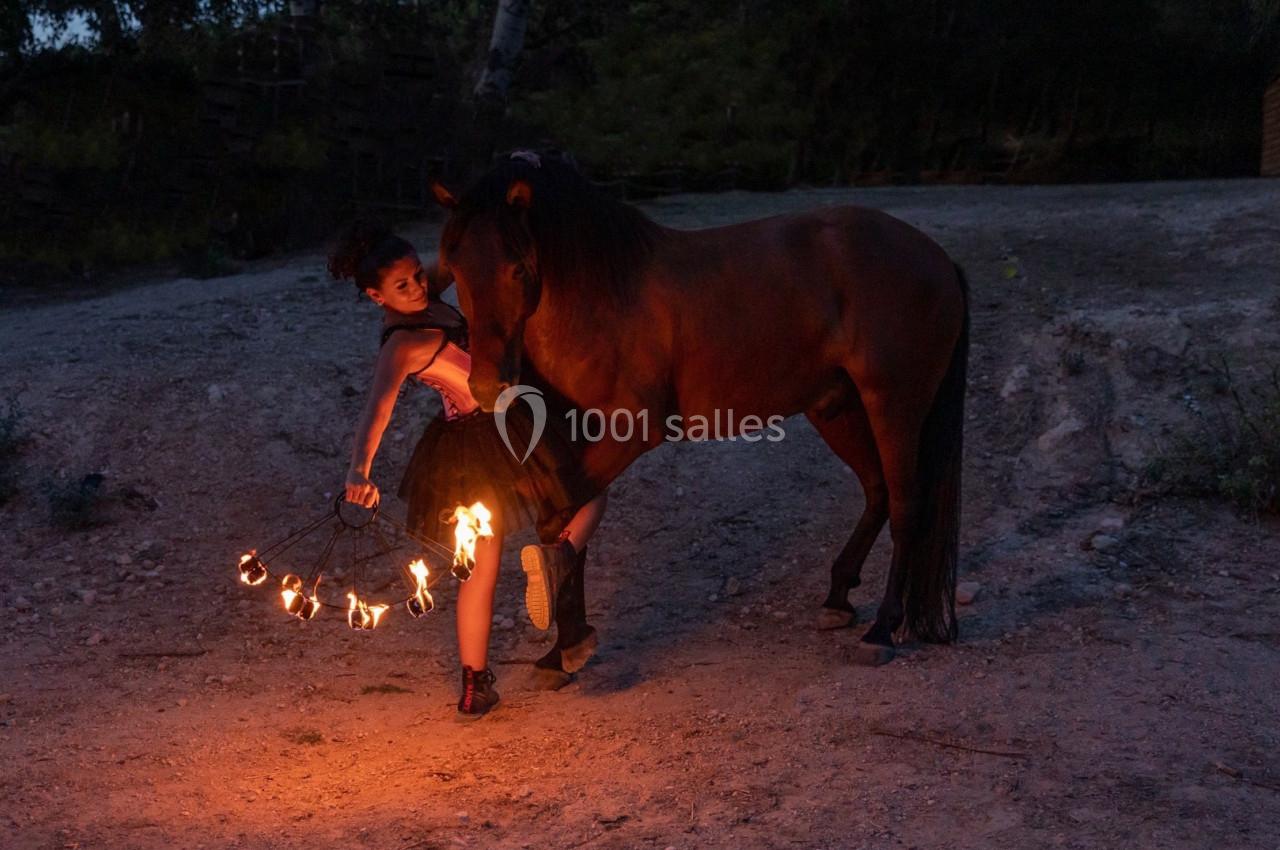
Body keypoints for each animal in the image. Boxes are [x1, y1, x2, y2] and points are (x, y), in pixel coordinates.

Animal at [431, 155, 968, 669]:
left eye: (518, 269)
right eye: (455, 270)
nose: (487, 386)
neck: (603, 298)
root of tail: (936, 257)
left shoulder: (631, 432)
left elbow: (555, 519)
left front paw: (569, 645)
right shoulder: (575, 439)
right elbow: (564, 526)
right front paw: (563, 651)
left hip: (894, 405)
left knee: (906, 506)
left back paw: (881, 630)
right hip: (837, 409)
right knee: (877, 492)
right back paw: (838, 597)